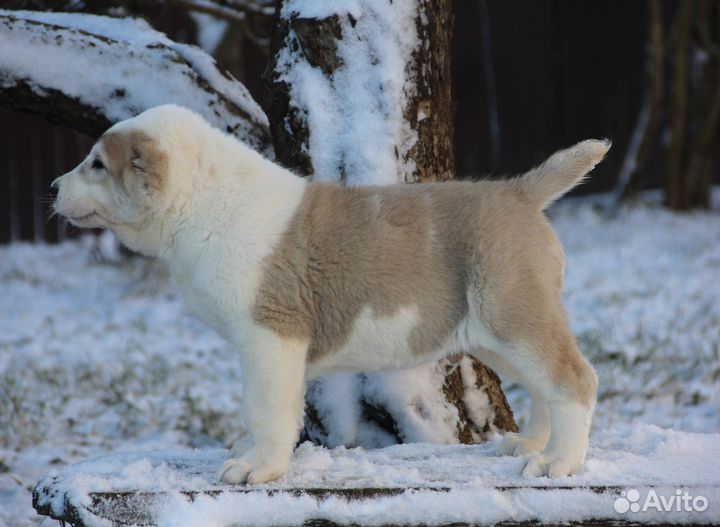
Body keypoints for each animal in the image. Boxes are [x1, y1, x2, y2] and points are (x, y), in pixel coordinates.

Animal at [53, 104, 612, 486]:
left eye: (97, 165)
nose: (55, 187)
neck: (204, 202)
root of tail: (519, 192)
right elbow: (258, 408)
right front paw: (248, 454)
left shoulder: (270, 335)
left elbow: (265, 406)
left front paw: (260, 469)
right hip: (498, 333)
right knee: (544, 386)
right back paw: (530, 445)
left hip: (513, 315)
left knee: (574, 379)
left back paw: (559, 461)